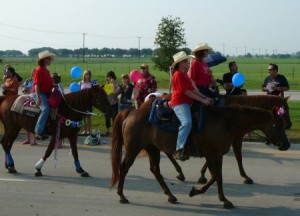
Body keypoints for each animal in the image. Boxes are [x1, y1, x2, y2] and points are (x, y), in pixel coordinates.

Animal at [163, 94, 292, 184]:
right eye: (286, 109)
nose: (289, 125)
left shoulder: (236, 139)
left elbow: (238, 157)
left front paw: (245, 177)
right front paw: (202, 176)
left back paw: (179, 172)